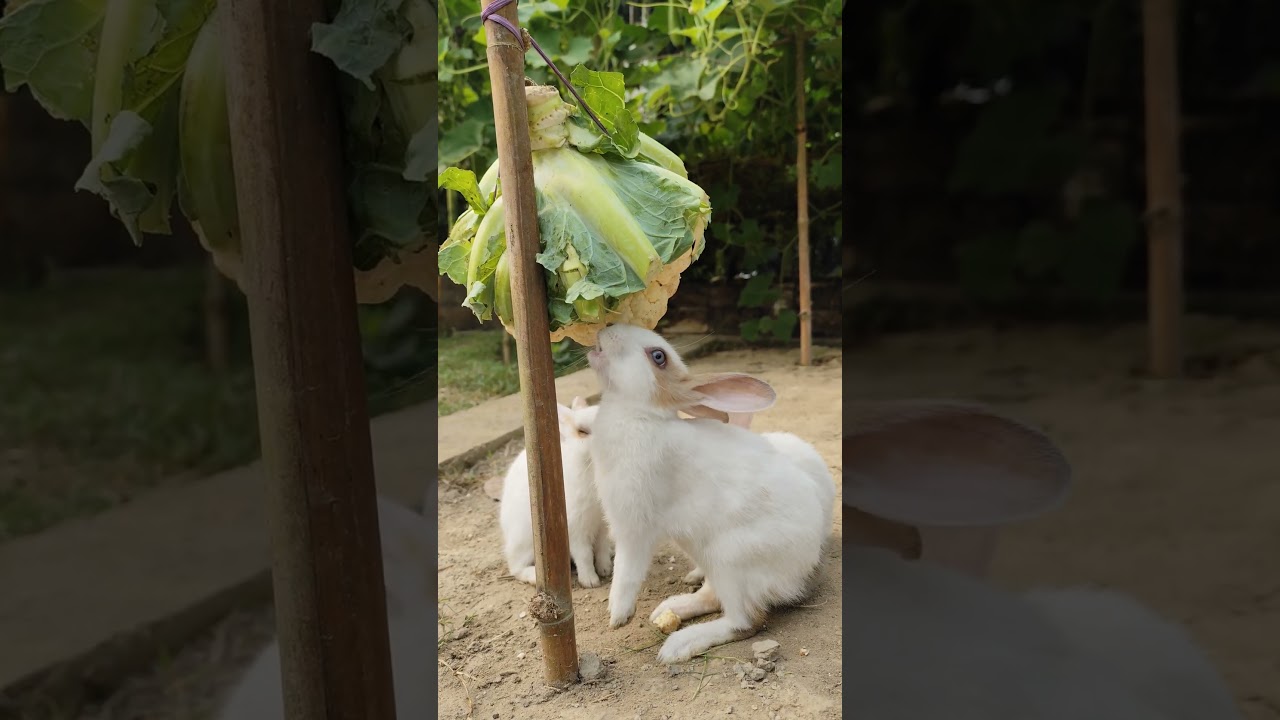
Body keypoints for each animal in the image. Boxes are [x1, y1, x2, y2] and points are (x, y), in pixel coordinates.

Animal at [499, 396, 612, 588]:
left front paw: (605, 569)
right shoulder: (575, 528)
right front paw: (590, 581)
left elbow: (601, 548)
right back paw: (533, 576)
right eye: (582, 432)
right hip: (526, 541)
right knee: (516, 567)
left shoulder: (603, 525)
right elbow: (584, 555)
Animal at [585, 323, 835, 664]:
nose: (606, 327)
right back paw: (670, 608)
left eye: (658, 356)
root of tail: (805, 568)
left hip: (730, 562)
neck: (640, 415)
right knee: (713, 598)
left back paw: (678, 646)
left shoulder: (634, 527)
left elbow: (626, 571)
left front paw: (617, 615)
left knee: (745, 622)